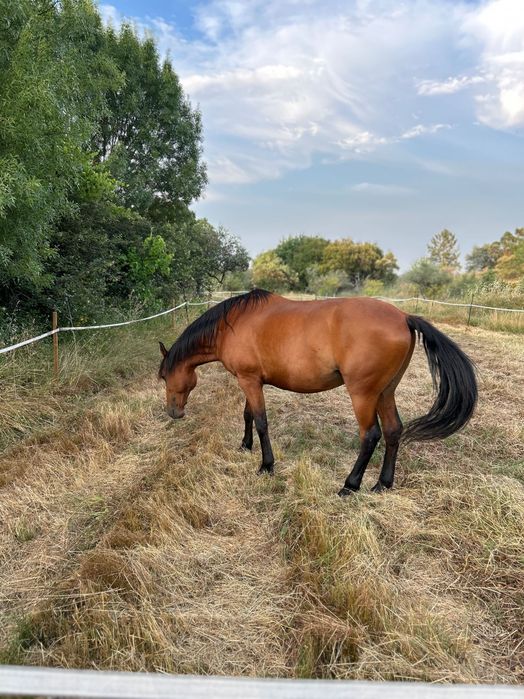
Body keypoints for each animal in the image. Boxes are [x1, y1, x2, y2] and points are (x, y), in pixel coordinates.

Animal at [158, 289, 477, 496]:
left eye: (163, 376)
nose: (174, 412)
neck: (233, 324)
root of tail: (404, 317)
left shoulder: (249, 381)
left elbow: (261, 421)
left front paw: (266, 465)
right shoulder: (250, 382)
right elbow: (248, 415)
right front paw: (245, 446)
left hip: (363, 395)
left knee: (370, 435)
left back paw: (350, 485)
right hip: (386, 392)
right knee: (393, 431)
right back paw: (382, 485)